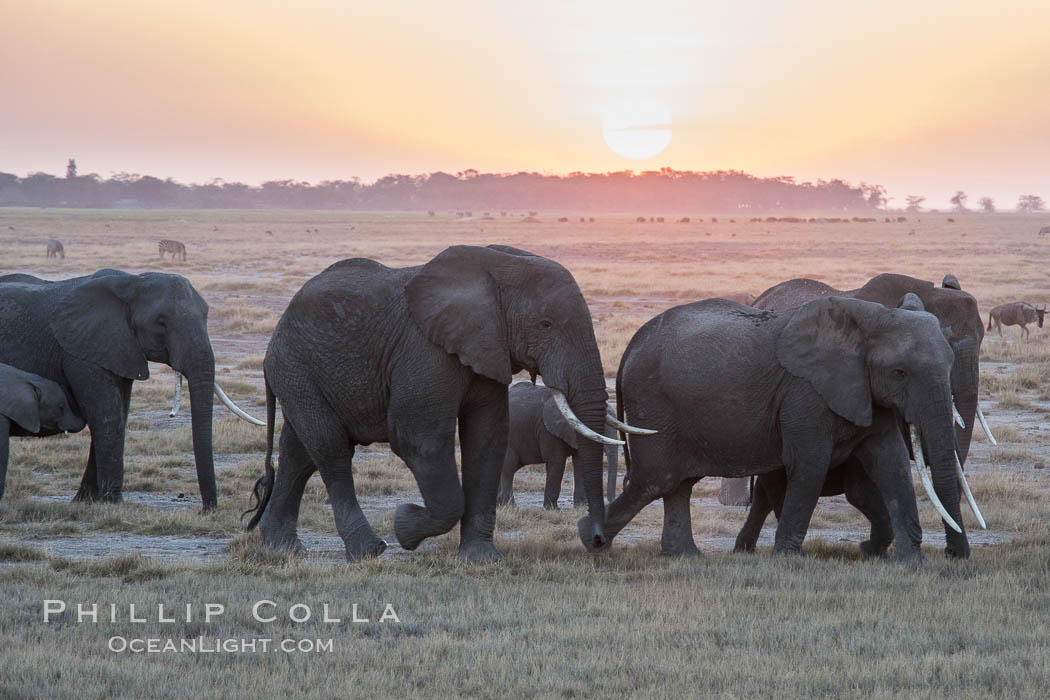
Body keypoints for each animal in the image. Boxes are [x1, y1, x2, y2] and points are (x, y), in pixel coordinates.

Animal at [495, 384, 625, 510]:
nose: (609, 503)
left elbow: (579, 463)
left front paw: (581, 507)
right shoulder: (548, 431)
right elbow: (557, 462)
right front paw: (553, 509)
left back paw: (499, 505)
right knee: (509, 467)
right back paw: (510, 506)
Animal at [579, 295, 978, 562]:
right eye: (900, 372)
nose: (955, 556)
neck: (872, 317)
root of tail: (631, 346)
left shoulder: (865, 393)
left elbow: (891, 464)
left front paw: (910, 562)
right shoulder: (807, 393)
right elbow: (810, 464)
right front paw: (787, 559)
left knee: (678, 483)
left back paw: (685, 556)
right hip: (654, 402)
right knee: (656, 478)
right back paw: (592, 539)